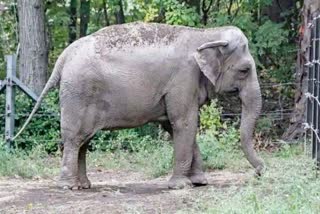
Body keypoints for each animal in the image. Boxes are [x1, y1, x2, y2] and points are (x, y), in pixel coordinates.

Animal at [15, 21, 264, 189]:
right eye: (244, 70)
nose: (260, 172)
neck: (206, 34)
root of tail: (64, 55)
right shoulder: (183, 80)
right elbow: (184, 123)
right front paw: (181, 186)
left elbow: (177, 126)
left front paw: (199, 182)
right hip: (78, 94)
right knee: (75, 138)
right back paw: (68, 187)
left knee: (84, 141)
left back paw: (83, 185)